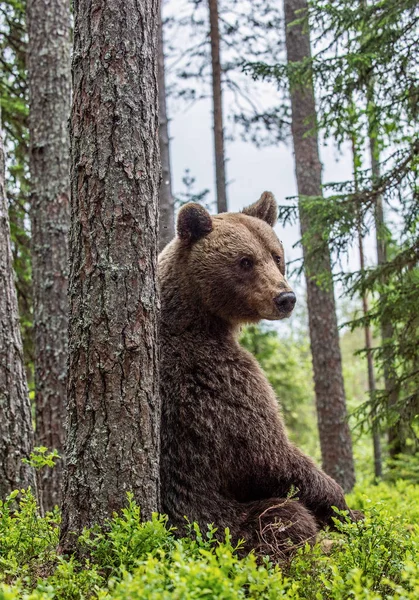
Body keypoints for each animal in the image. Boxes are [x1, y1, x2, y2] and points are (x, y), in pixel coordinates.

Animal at [159, 192, 360, 556]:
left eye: (276, 255)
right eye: (244, 261)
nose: (286, 297)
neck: (199, 319)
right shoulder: (215, 382)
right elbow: (268, 453)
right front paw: (344, 506)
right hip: (214, 522)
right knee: (284, 516)